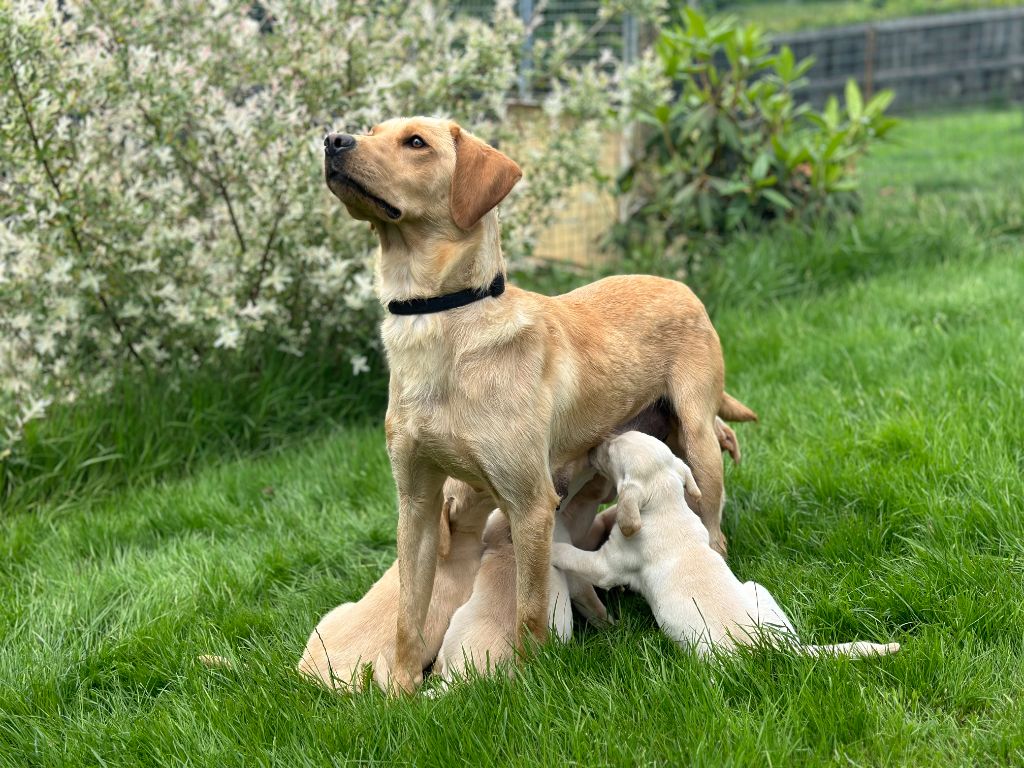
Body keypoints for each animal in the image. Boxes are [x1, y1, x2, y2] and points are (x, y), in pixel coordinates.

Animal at [323, 117, 757, 696]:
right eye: (371, 129)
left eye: (416, 142)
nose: (332, 141)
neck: (440, 319)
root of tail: (678, 284)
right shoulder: (415, 503)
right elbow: (407, 616)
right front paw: (401, 691)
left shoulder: (529, 502)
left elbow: (529, 612)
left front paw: (530, 682)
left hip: (698, 442)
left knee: (713, 528)